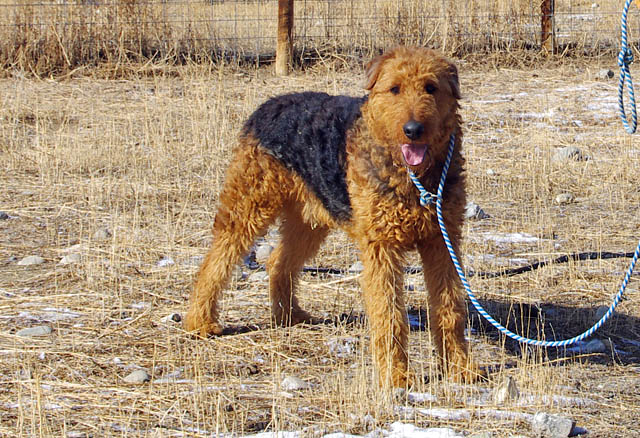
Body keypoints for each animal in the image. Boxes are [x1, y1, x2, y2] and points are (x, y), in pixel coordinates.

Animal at [185, 45, 480, 386]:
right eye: (394, 88)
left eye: (431, 87)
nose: (413, 130)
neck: (413, 178)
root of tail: (269, 104)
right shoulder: (382, 246)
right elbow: (389, 314)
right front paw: (396, 376)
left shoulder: (442, 242)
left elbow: (450, 308)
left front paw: (461, 368)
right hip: (248, 207)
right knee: (215, 263)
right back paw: (200, 322)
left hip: (308, 221)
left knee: (279, 263)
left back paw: (290, 315)